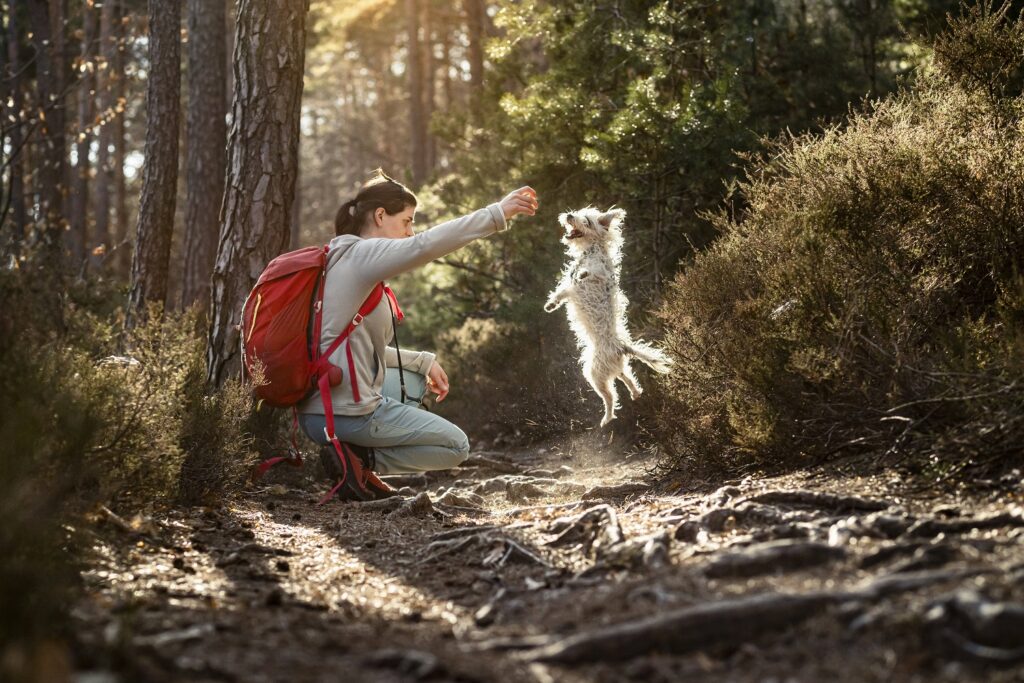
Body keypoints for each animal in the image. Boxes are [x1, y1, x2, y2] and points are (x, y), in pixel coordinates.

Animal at [544, 208, 671, 423]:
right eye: (577, 213)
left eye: (586, 220)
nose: (569, 215)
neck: (589, 251)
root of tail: (621, 346)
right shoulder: (570, 288)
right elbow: (561, 291)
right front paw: (551, 304)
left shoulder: (591, 278)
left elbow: (592, 272)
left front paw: (585, 272)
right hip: (613, 368)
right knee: (626, 376)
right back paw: (635, 393)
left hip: (594, 374)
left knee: (611, 396)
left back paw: (608, 417)